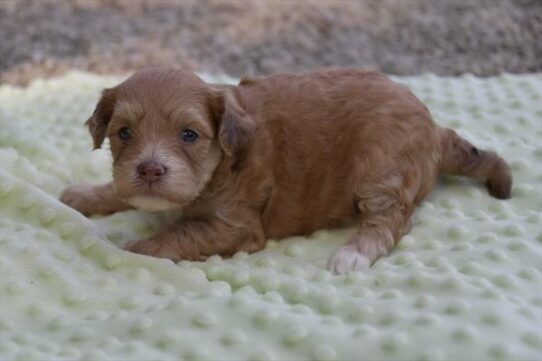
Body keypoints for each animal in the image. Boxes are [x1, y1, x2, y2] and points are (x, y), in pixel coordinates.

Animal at [60, 67, 516, 274]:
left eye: (189, 135)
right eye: (124, 133)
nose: (151, 170)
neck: (219, 166)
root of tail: (434, 127)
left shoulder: (236, 227)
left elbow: (179, 233)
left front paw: (132, 249)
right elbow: (121, 190)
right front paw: (85, 194)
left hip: (381, 167)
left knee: (391, 219)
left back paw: (353, 253)